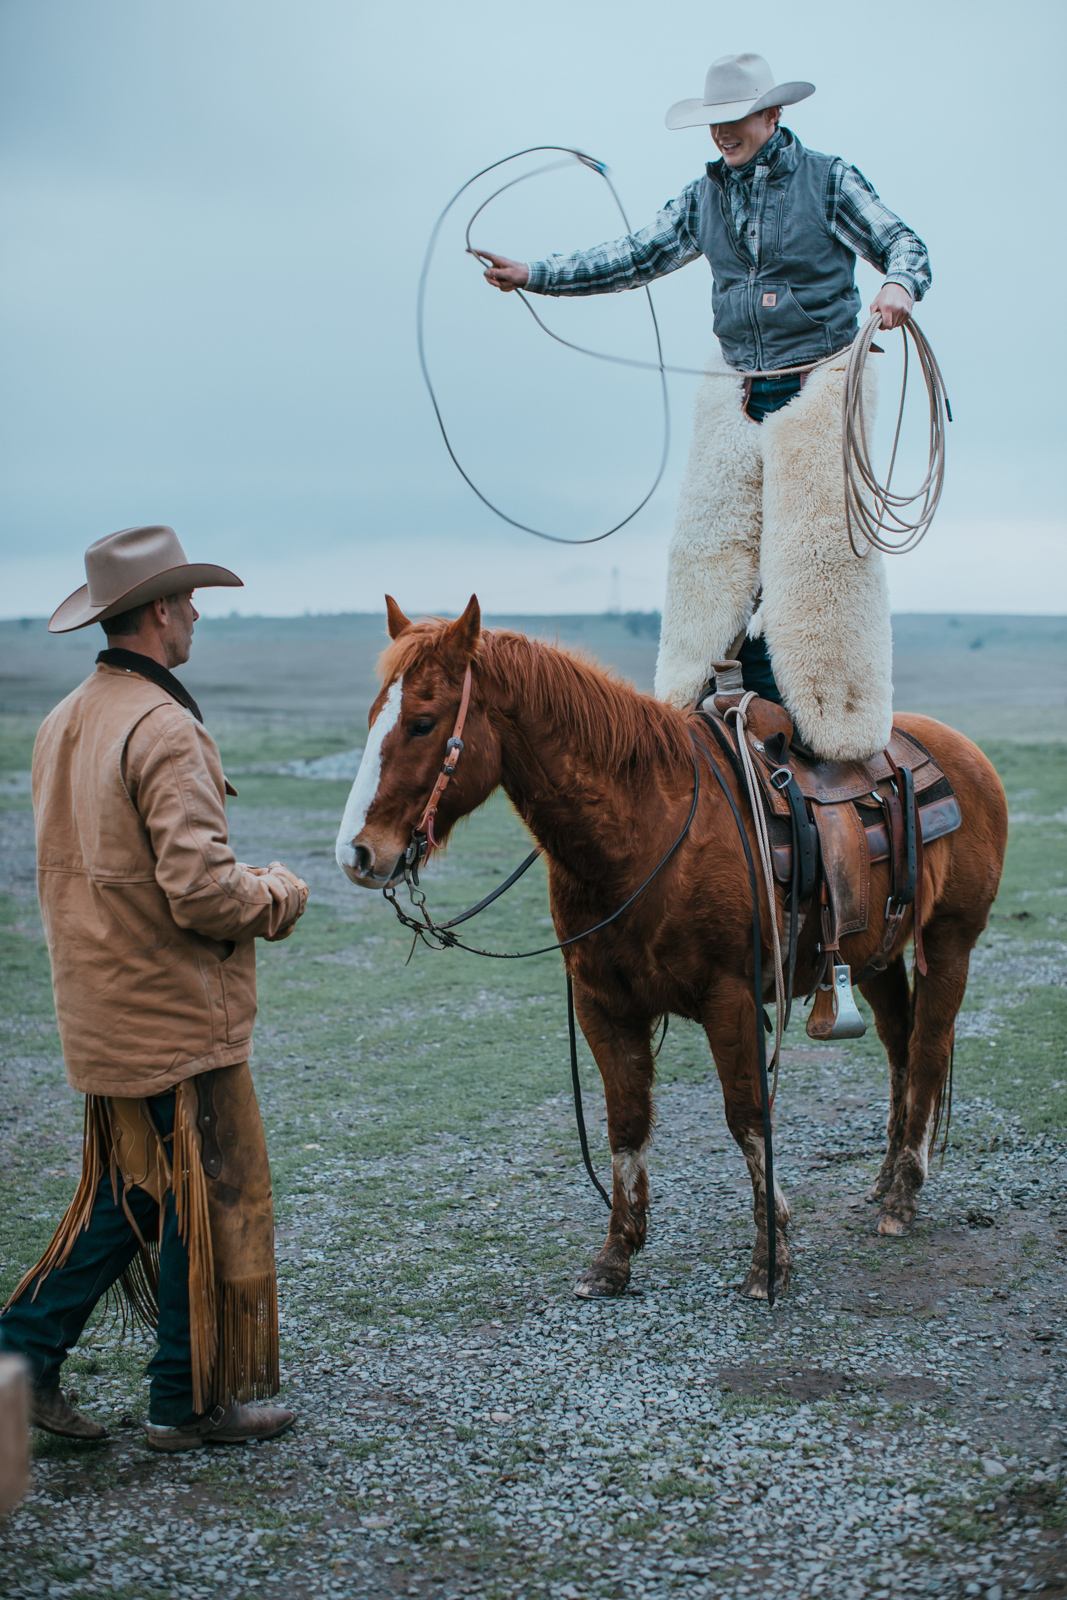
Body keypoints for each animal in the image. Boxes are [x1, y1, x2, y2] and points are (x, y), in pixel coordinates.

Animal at [335, 601, 1011, 1299]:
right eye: (374, 716)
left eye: (422, 722)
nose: (357, 853)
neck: (641, 834)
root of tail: (962, 752)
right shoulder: (603, 1004)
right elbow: (626, 1123)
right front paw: (615, 1257)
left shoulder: (730, 998)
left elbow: (748, 1117)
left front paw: (770, 1260)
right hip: (874, 953)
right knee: (900, 1044)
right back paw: (886, 1178)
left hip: (949, 941)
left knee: (928, 1050)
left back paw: (904, 1196)